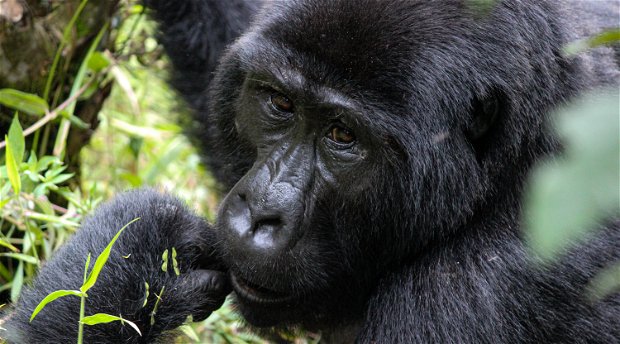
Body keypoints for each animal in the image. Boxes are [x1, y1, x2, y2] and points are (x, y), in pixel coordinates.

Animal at [1, 0, 620, 342]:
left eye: (343, 136)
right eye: (279, 103)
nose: (258, 214)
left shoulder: (483, 286)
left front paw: (114, 276)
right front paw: (129, 269)